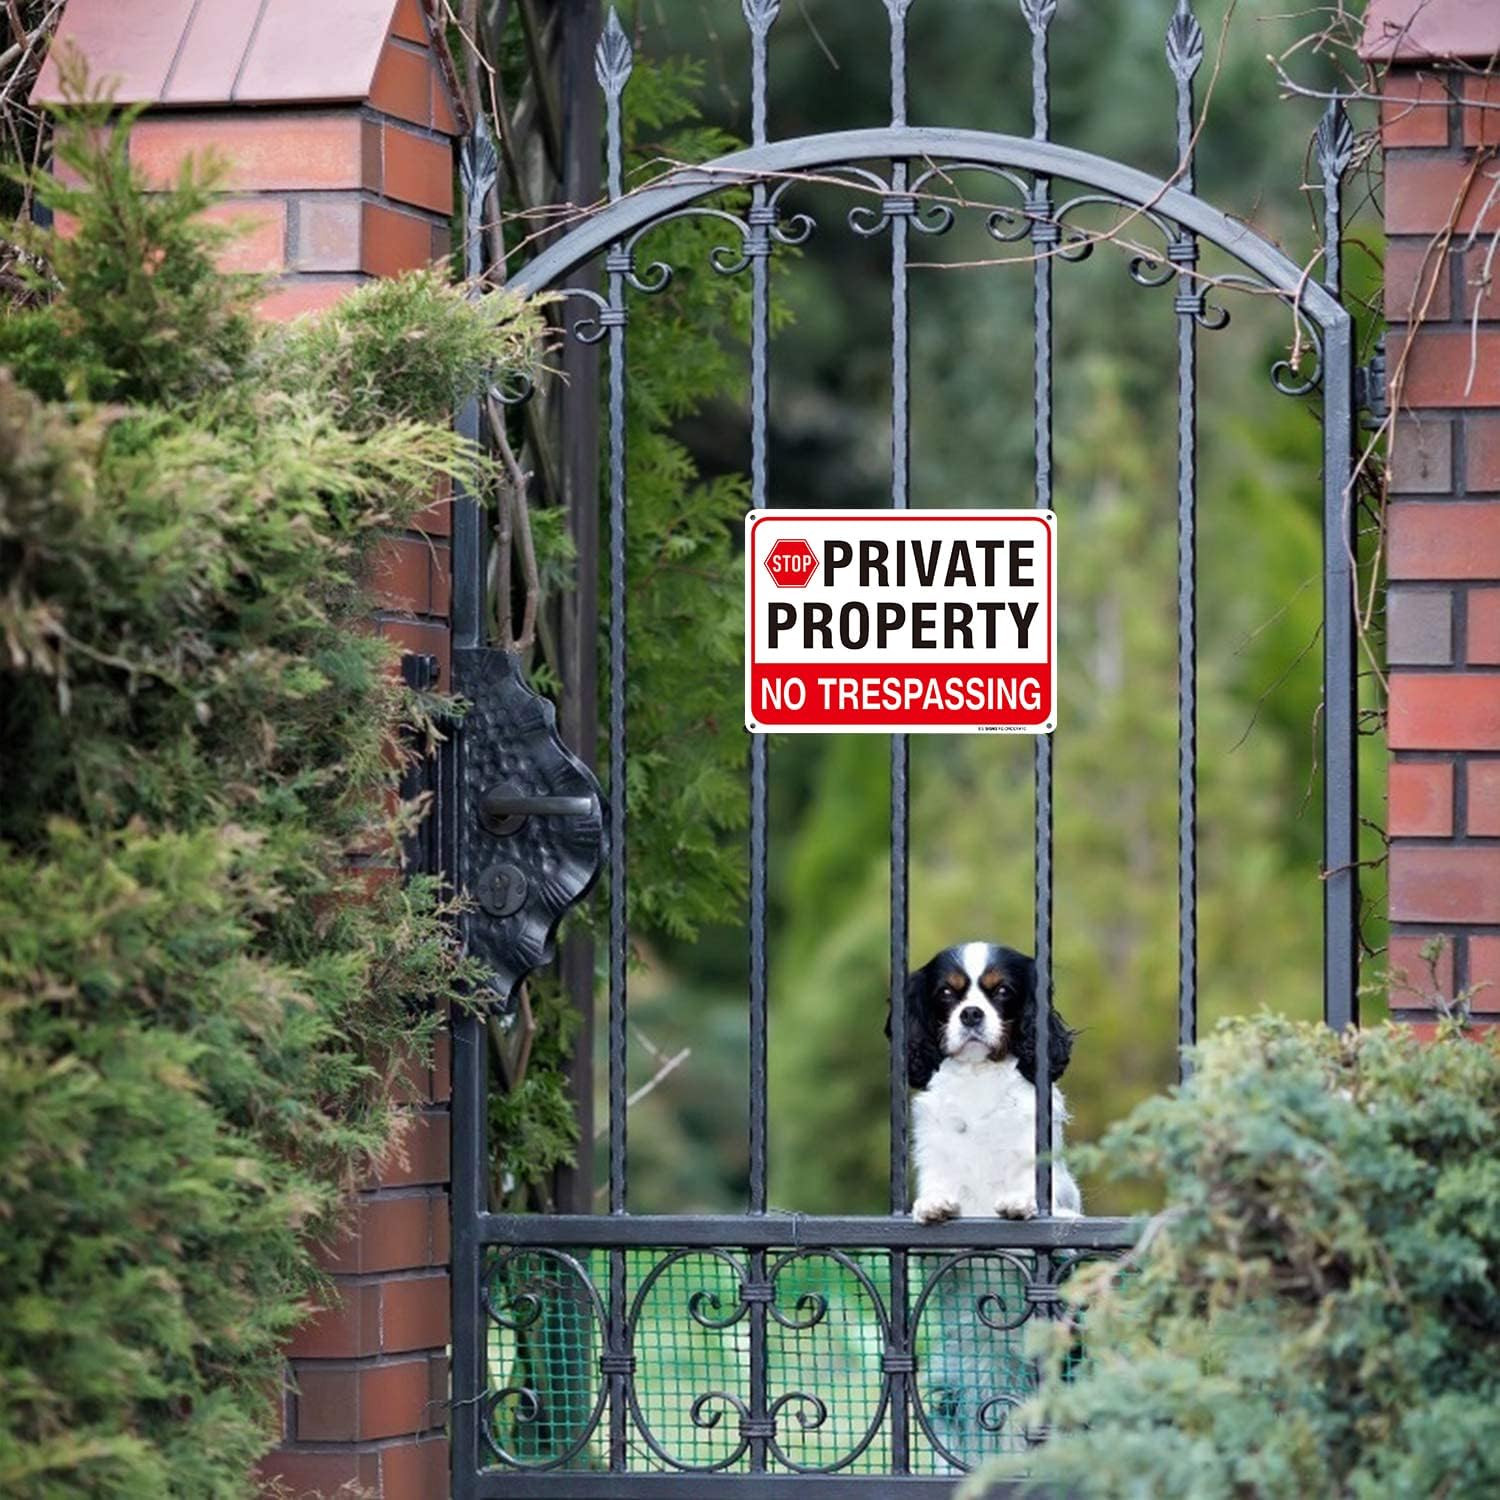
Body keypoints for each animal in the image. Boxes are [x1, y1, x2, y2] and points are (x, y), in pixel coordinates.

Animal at [905, 941, 1081, 1222]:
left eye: (1002, 990)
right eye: (946, 992)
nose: (971, 1013)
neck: (978, 1072)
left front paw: (1021, 1201)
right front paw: (934, 1202)